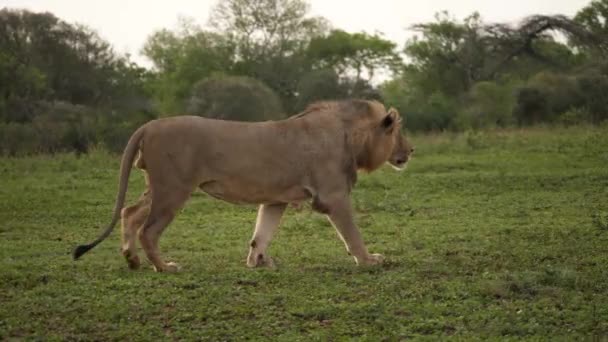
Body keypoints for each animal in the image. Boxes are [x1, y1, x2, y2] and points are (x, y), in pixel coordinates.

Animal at [71, 99, 414, 272]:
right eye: (398, 131)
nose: (410, 151)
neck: (350, 135)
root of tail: (150, 124)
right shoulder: (333, 196)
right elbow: (353, 234)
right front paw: (369, 261)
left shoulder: (276, 199)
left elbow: (261, 233)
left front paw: (258, 262)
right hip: (173, 189)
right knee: (148, 230)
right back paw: (165, 267)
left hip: (159, 187)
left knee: (129, 212)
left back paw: (132, 260)